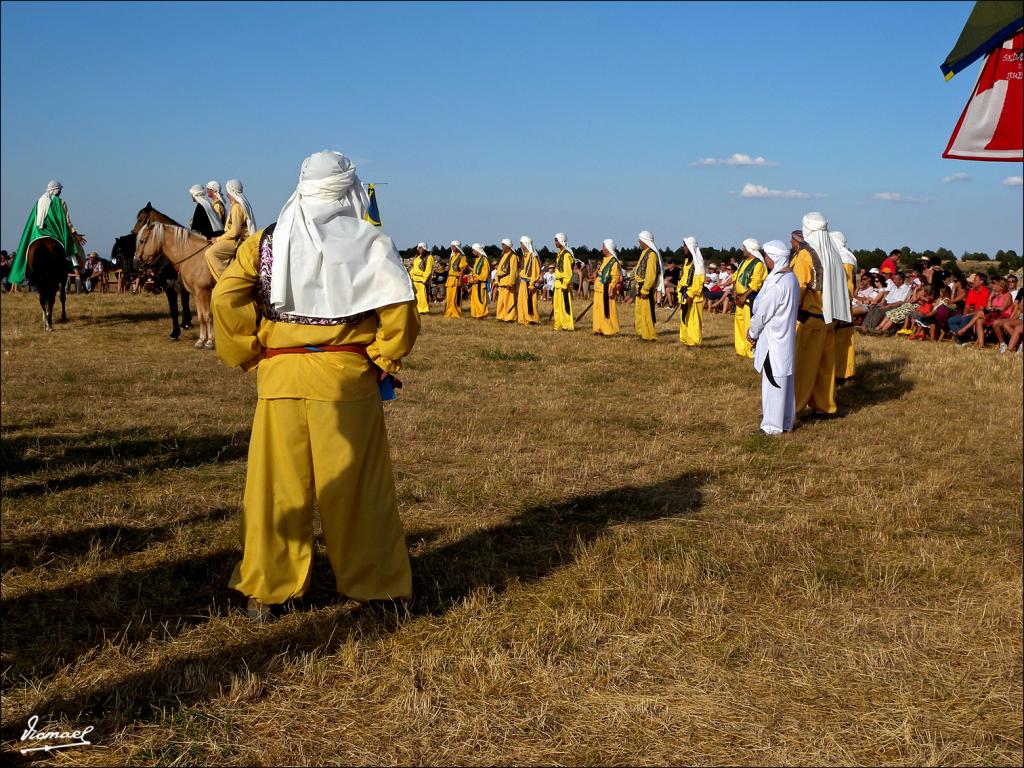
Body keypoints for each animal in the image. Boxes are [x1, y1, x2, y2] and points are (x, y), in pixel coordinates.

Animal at [126, 204, 192, 339]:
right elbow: (181, 304)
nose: (134, 234)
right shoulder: (177, 286)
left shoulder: (170, 285)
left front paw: (175, 332)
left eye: (140, 219)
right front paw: (185, 324)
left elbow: (175, 308)